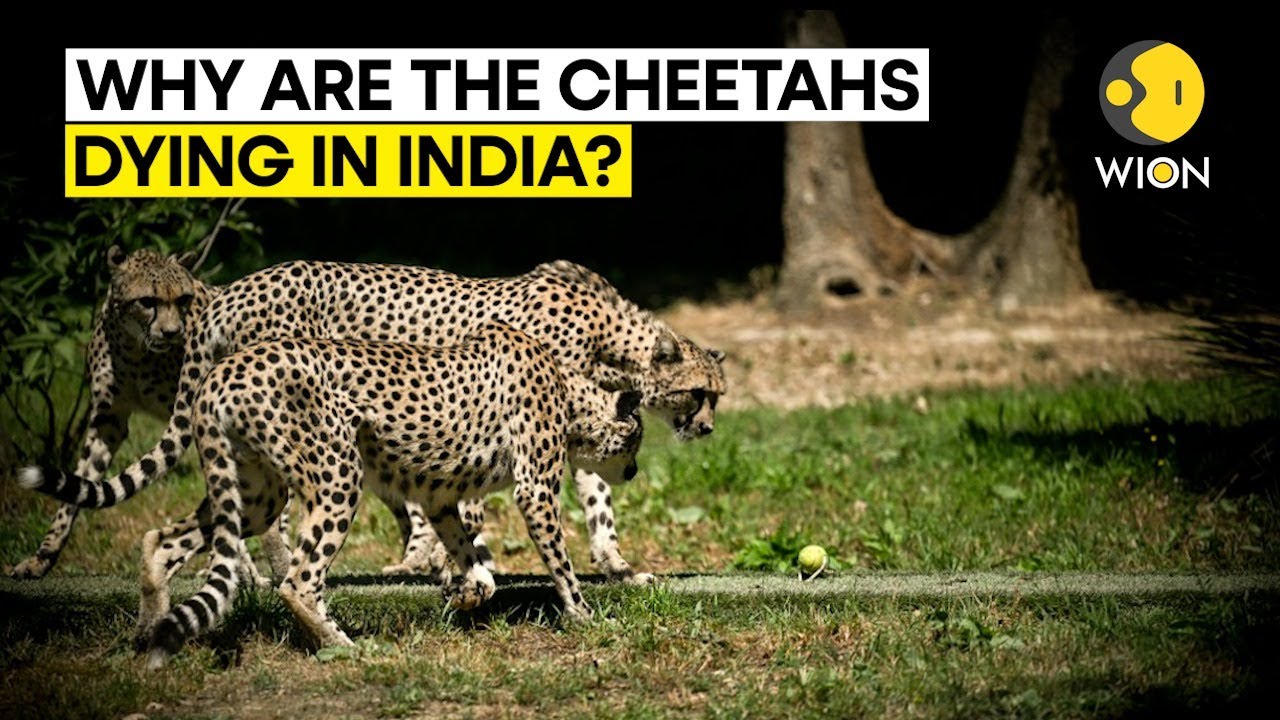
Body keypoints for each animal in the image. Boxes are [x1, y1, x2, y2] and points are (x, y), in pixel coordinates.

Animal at [18, 259, 727, 585]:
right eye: (698, 395)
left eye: (718, 396)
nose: (710, 430)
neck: (615, 338)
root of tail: (224, 292)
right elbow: (479, 508)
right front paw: (462, 568)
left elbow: (597, 493)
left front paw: (617, 563)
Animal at [138, 324, 643, 666]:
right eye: (636, 440)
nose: (636, 470)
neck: (568, 391)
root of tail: (223, 368)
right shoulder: (535, 491)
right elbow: (561, 565)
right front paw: (584, 616)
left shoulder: (440, 497)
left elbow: (476, 565)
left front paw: (465, 594)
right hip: (338, 478)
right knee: (298, 581)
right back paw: (342, 646)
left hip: (257, 496)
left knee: (160, 541)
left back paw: (150, 633)